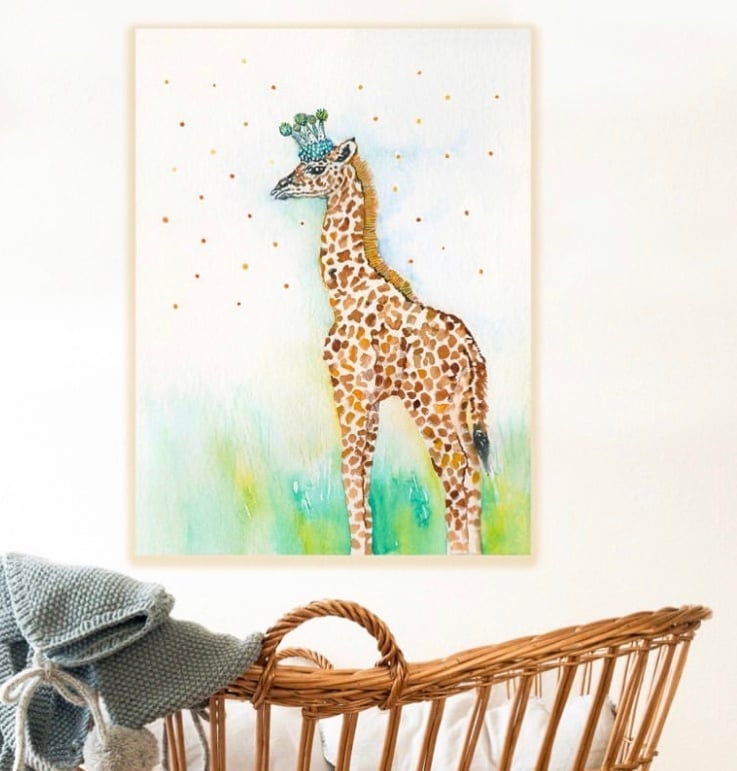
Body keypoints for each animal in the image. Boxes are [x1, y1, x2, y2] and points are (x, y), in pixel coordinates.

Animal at [272, 117, 492, 555]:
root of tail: (471, 350)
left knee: (455, 469)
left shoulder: (349, 389)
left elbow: (348, 469)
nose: (279, 187)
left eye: (316, 168)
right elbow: (362, 471)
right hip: (460, 407)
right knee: (472, 470)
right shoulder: (370, 399)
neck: (343, 292)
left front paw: (358, 551)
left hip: (430, 404)